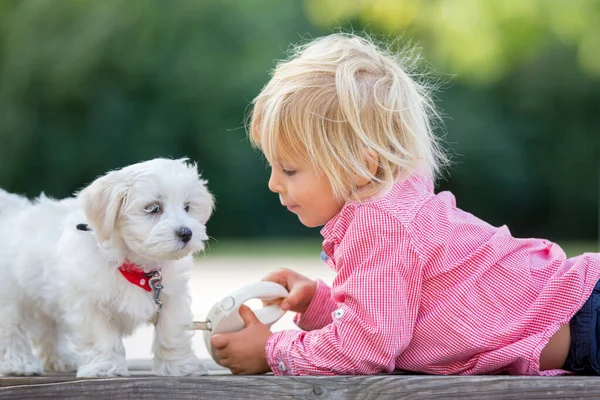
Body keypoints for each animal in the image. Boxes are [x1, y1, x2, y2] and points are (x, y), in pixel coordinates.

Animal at [0, 158, 213, 376]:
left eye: (187, 207)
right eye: (153, 208)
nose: (186, 233)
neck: (137, 268)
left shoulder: (171, 297)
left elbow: (171, 332)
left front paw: (179, 366)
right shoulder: (90, 302)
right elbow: (100, 337)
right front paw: (105, 367)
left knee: (48, 329)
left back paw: (62, 359)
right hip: (11, 298)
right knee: (11, 329)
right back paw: (18, 363)